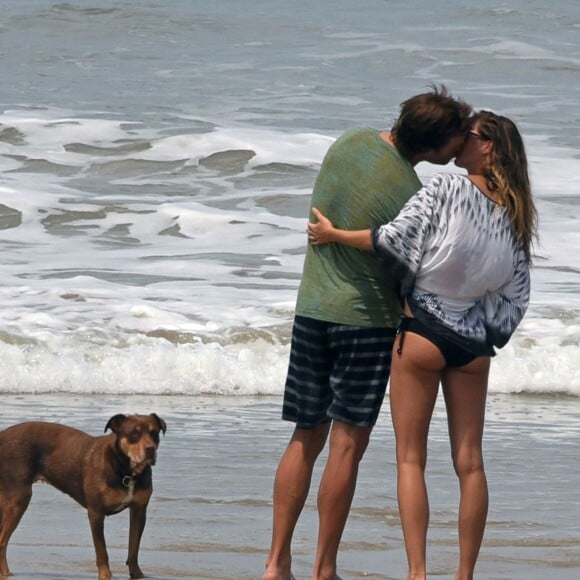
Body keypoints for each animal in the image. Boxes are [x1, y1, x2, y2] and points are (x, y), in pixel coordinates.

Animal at [0, 412, 168, 580]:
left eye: (154, 433)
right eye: (134, 433)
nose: (150, 449)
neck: (126, 471)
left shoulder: (139, 510)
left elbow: (134, 547)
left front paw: (137, 574)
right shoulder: (96, 512)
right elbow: (101, 550)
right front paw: (106, 575)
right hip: (18, 499)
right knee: (2, 541)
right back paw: (6, 572)